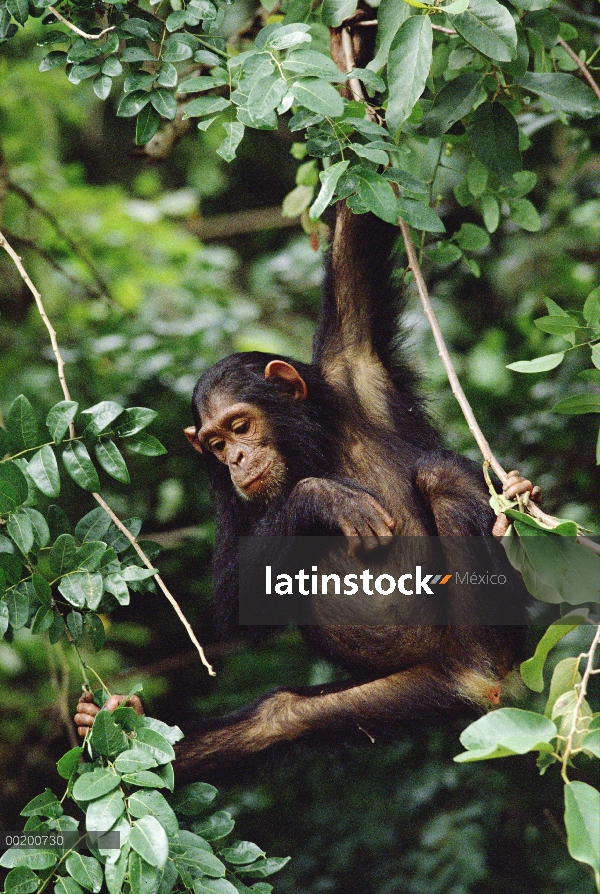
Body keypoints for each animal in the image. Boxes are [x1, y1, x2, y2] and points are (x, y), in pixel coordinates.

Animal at [76, 205, 540, 784]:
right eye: (216, 443)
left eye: (241, 425)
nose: (237, 459)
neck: (309, 450)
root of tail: (483, 680)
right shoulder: (226, 498)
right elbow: (237, 604)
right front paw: (322, 499)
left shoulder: (352, 360)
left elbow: (352, 247)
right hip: (423, 690)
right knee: (282, 716)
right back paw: (117, 721)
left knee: (439, 475)